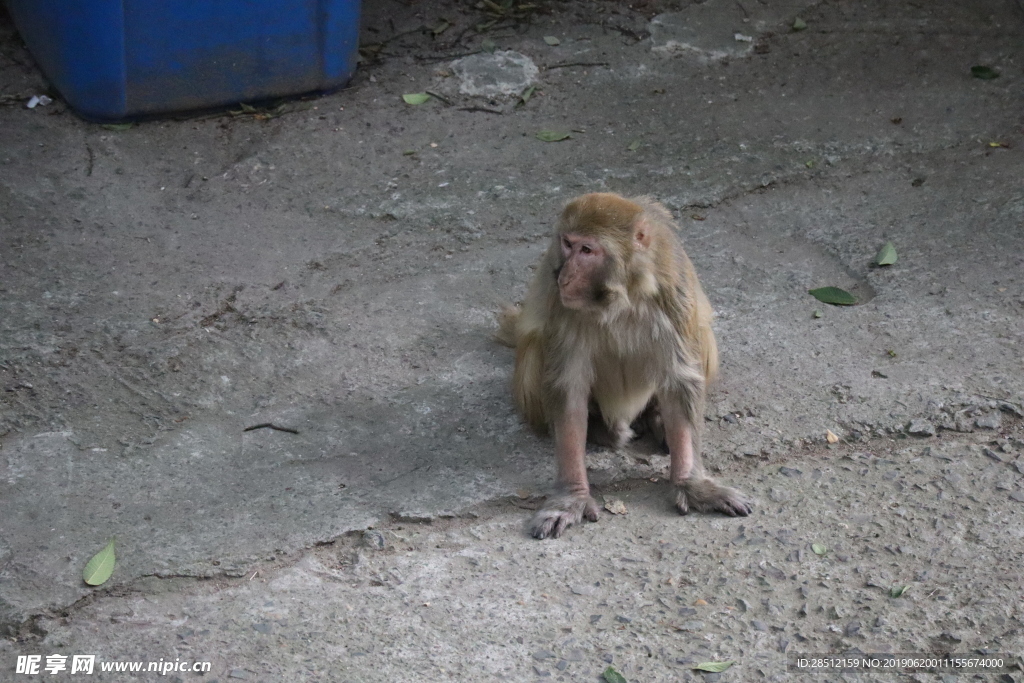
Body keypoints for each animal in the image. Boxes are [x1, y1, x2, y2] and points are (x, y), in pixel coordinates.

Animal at [497, 191, 753, 540]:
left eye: (587, 250)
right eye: (567, 243)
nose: (564, 276)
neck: (621, 293)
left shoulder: (672, 293)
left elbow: (680, 380)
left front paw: (691, 484)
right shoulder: (564, 308)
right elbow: (568, 388)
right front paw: (573, 496)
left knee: (700, 334)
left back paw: (655, 416)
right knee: (537, 346)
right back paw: (602, 430)